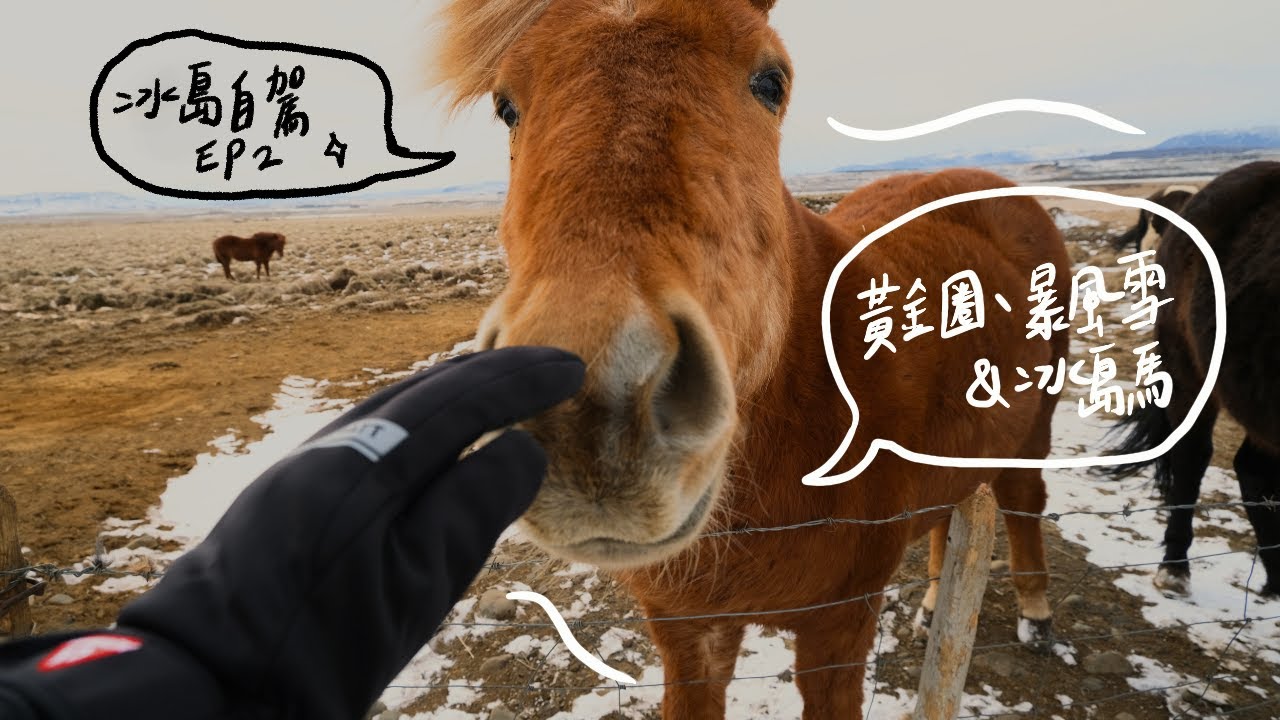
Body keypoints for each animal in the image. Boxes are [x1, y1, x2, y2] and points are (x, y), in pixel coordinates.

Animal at [432, 2, 1069, 717]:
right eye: (505, 104)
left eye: (771, 81)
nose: (592, 412)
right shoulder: (689, 630)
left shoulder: (840, 626)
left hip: (1036, 424)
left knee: (1022, 501)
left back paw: (1037, 617)